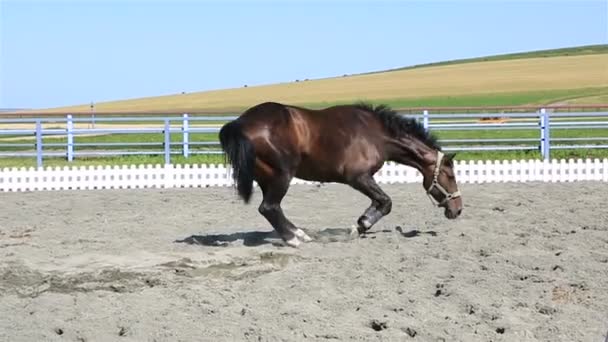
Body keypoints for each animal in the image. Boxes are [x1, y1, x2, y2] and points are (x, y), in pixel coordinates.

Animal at [218, 100, 460, 247]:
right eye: (450, 176)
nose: (457, 209)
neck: (376, 134)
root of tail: (240, 123)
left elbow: (380, 202)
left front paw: (362, 223)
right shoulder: (358, 177)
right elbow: (386, 202)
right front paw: (360, 225)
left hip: (267, 178)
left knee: (273, 209)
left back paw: (300, 234)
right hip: (282, 176)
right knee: (268, 208)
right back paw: (295, 239)